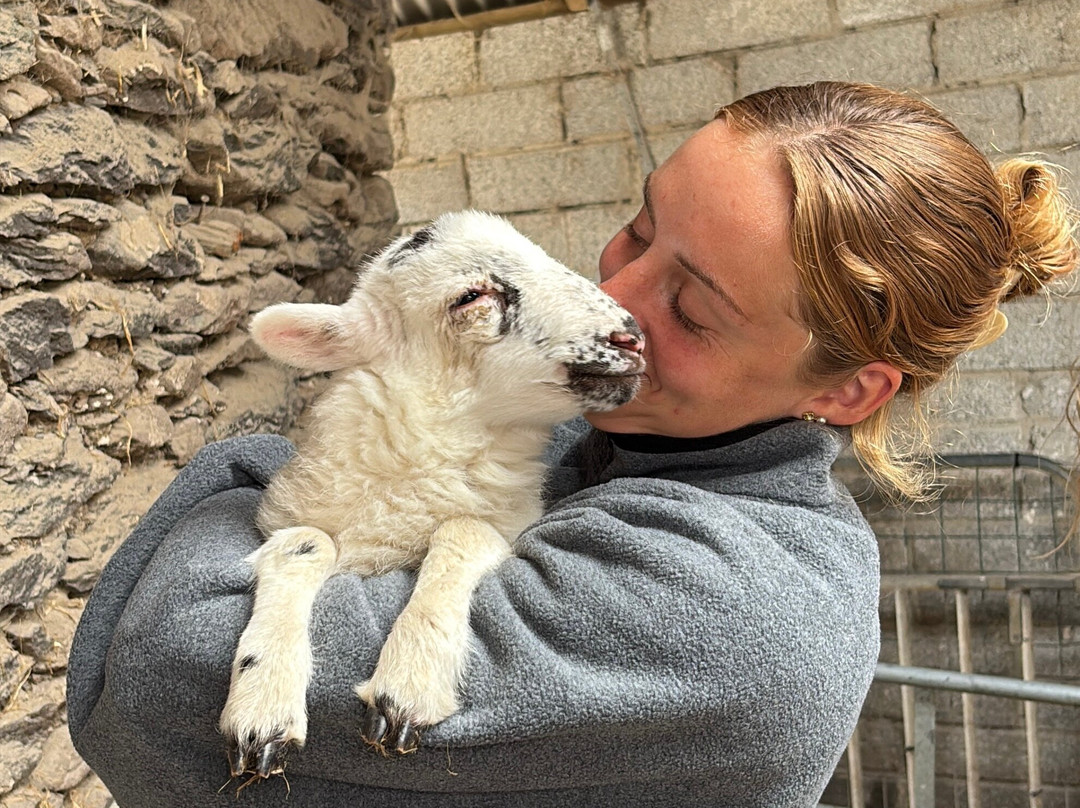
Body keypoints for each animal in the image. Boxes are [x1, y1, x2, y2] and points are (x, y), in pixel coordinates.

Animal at [219, 210, 646, 779]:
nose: (632, 339)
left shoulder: (504, 522)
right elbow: (303, 542)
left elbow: (463, 528)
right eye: (470, 297)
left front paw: (407, 685)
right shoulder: (294, 518)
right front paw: (262, 703)